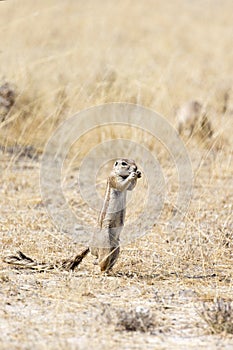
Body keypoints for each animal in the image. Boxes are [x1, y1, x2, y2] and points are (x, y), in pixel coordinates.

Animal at [3, 159, 141, 274]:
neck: (120, 174)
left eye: (133, 161)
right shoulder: (114, 179)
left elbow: (130, 188)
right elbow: (122, 185)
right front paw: (132, 175)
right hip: (105, 244)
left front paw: (138, 174)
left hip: (116, 247)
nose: (136, 167)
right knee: (101, 262)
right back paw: (104, 272)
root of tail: (90, 246)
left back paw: (111, 271)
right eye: (124, 163)